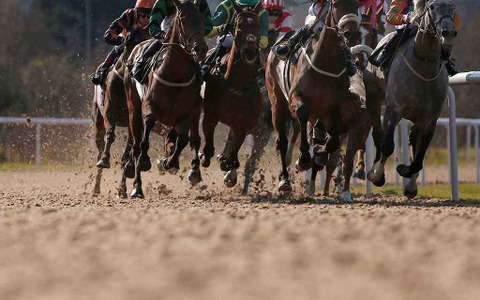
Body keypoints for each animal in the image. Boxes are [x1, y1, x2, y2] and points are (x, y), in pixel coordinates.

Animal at [91, 27, 149, 197]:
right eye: (129, 40)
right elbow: (110, 135)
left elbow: (127, 154)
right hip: (97, 119)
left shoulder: (132, 118)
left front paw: (123, 188)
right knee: (99, 147)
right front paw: (105, 159)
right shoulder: (109, 110)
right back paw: (96, 188)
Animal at [127, 0, 208, 199]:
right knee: (135, 146)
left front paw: (170, 162)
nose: (200, 49)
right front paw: (145, 161)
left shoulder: (188, 112)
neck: (174, 75)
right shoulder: (149, 106)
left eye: (202, 19)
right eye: (183, 19)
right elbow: (146, 134)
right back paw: (137, 187)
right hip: (133, 108)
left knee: (185, 138)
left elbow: (183, 140)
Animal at [201, 2, 264, 189]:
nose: (250, 52)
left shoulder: (243, 123)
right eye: (239, 26)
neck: (237, 85)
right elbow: (207, 148)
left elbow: (233, 151)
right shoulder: (210, 114)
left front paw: (228, 168)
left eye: (258, 26)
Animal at [266, 0, 368, 202]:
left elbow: (332, 142)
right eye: (335, 5)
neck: (325, 61)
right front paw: (303, 159)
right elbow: (302, 116)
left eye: (356, 4)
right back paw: (285, 181)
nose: (351, 34)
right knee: (282, 141)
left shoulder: (334, 108)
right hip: (277, 101)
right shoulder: (296, 99)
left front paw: (319, 154)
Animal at [368, 0, 458, 198]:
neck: (423, 65)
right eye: (432, 7)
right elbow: (387, 145)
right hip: (374, 98)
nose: (448, 33)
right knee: (378, 134)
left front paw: (405, 171)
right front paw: (377, 176)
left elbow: (419, 156)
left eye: (452, 7)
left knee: (412, 139)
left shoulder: (430, 119)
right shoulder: (393, 111)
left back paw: (410, 184)